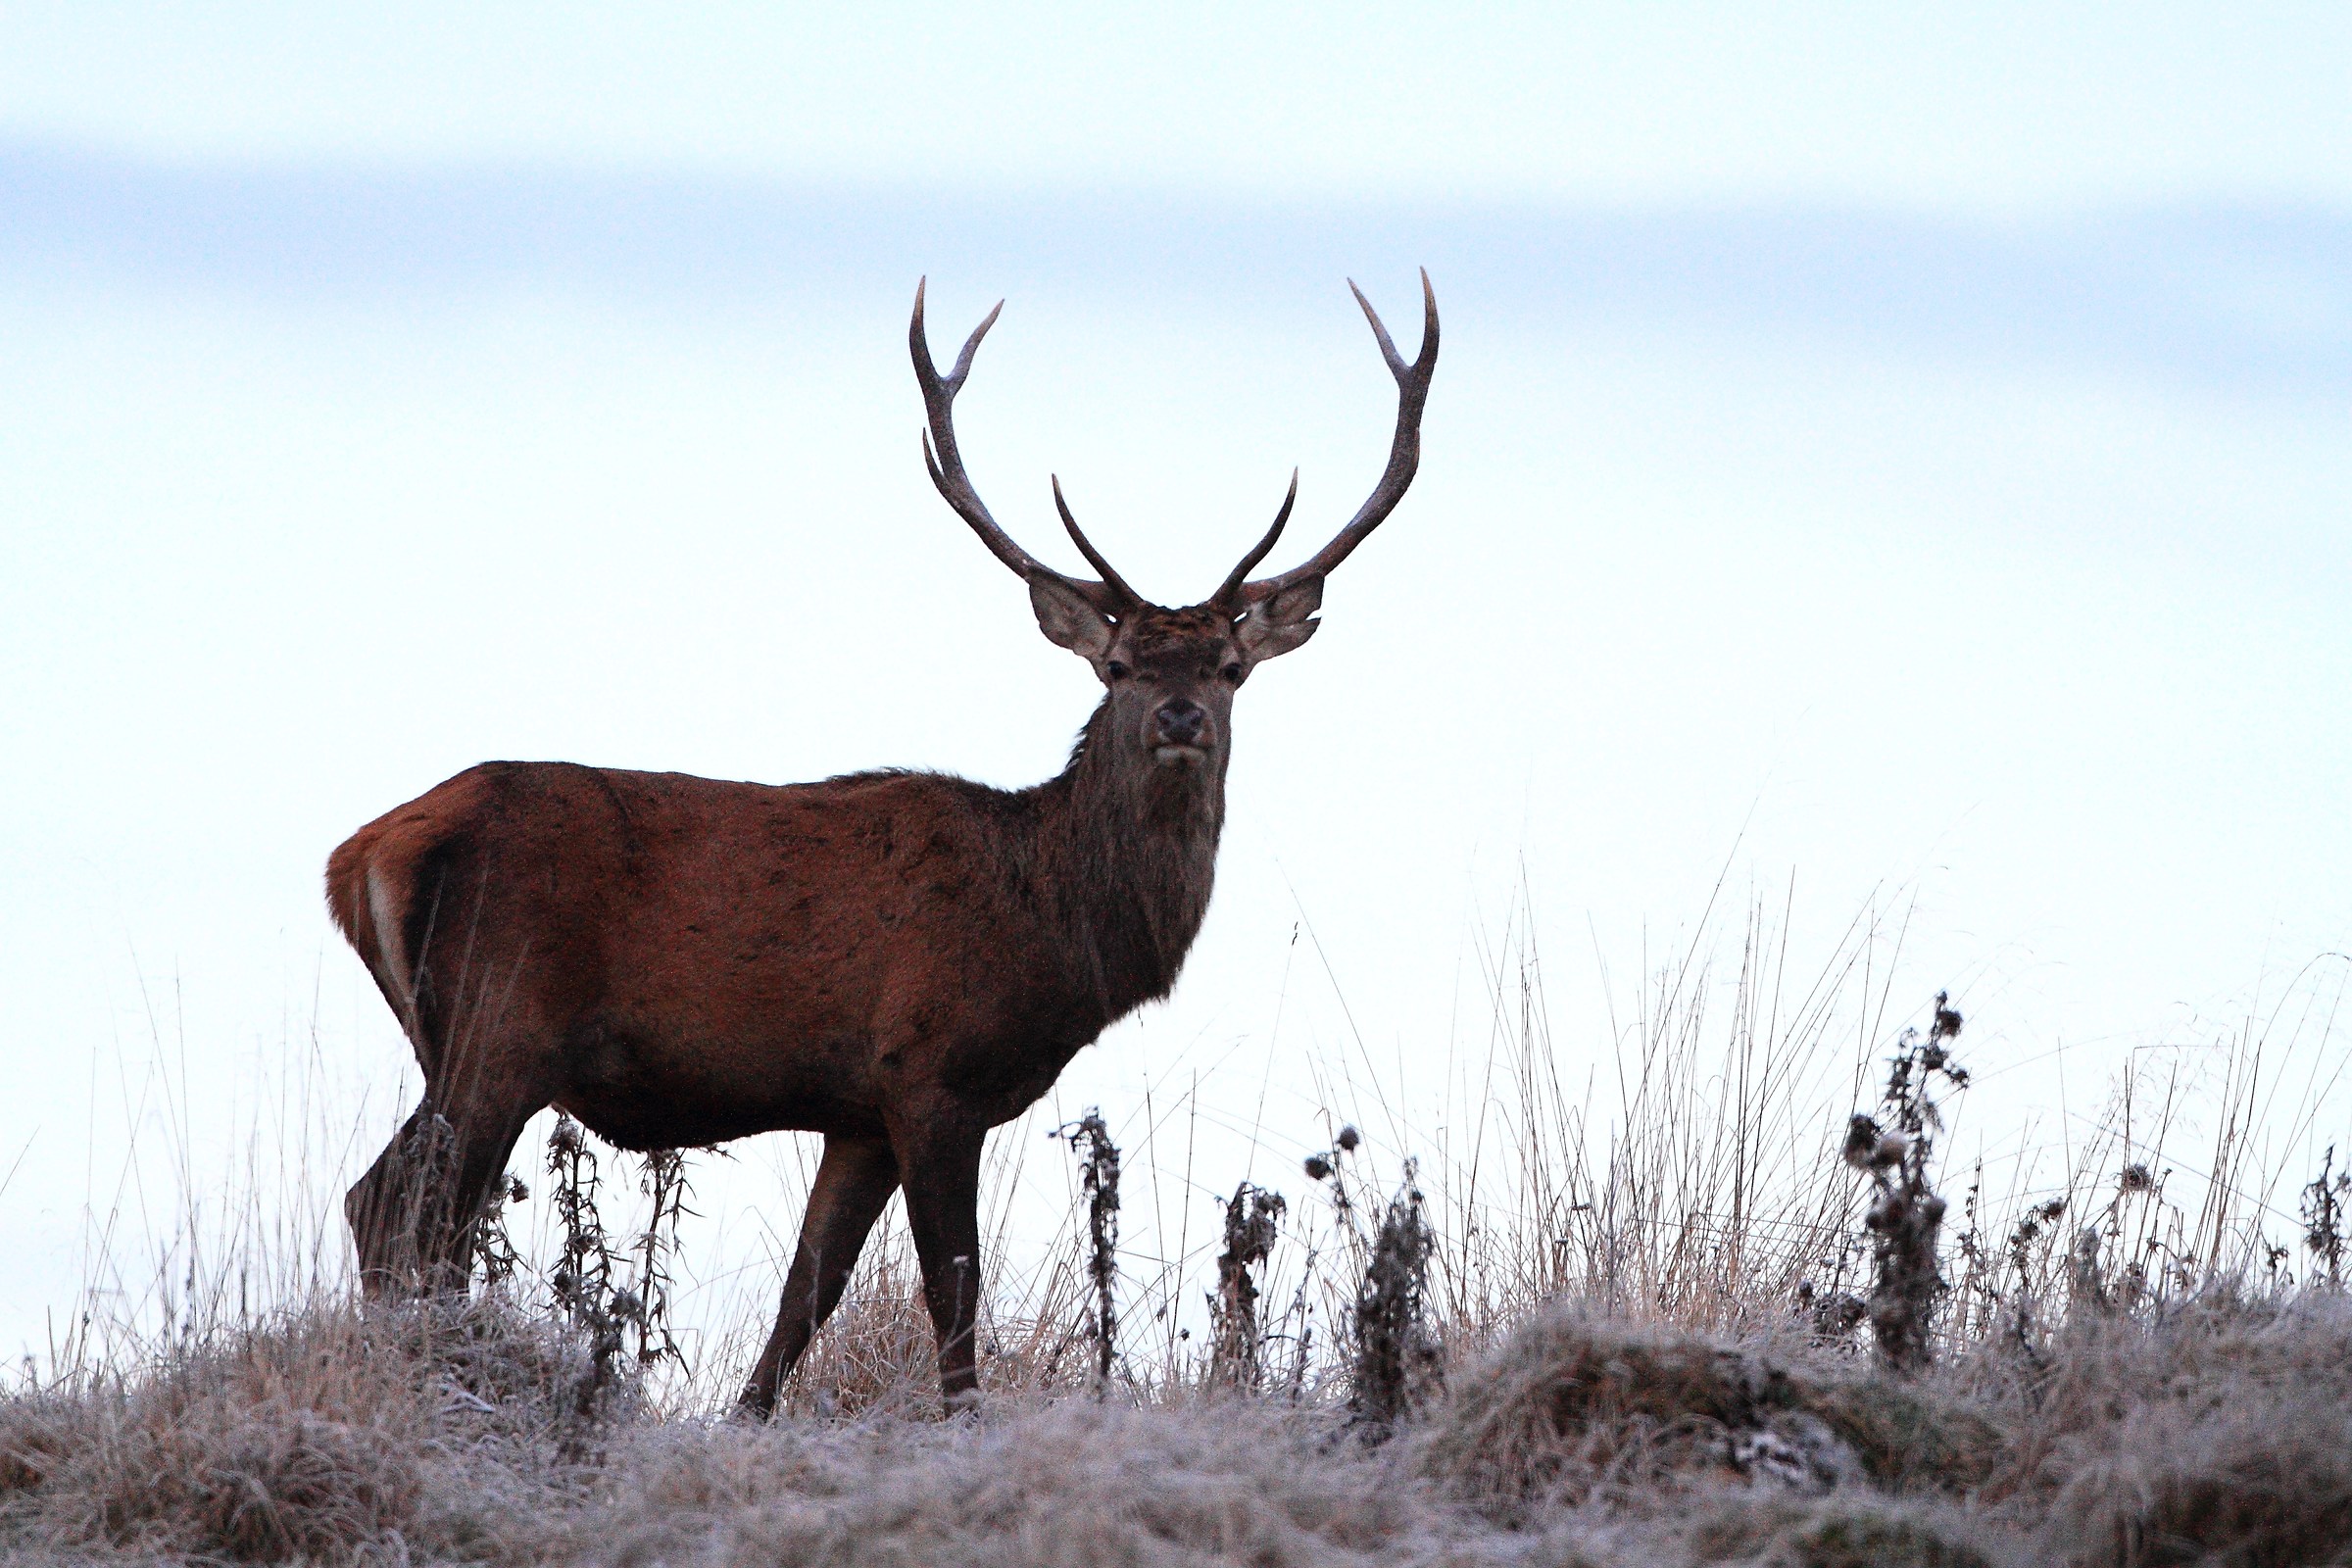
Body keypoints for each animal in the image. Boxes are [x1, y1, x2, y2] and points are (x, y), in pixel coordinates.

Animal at [325, 272, 1438, 1415]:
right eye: (1120, 664)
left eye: (1228, 665)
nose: (1179, 716)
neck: (1053, 930)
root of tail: (359, 854)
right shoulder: (931, 1072)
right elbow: (953, 1289)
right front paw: (962, 1425)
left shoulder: (857, 1110)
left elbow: (807, 1292)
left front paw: (746, 1422)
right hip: (499, 1023)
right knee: (398, 1207)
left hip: (463, 1037)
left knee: (397, 1205)